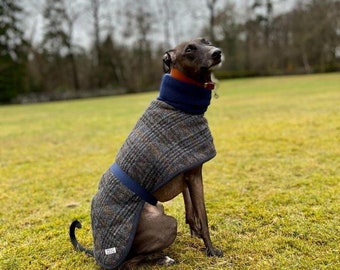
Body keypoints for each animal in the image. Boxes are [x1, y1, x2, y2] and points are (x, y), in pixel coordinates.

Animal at [69, 37, 223, 268]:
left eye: (207, 41)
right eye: (189, 49)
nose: (217, 53)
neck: (180, 104)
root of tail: (96, 251)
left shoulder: (186, 171)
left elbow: (191, 213)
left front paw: (195, 234)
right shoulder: (195, 175)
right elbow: (202, 216)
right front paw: (211, 250)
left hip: (158, 208)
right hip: (166, 223)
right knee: (129, 263)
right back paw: (162, 258)